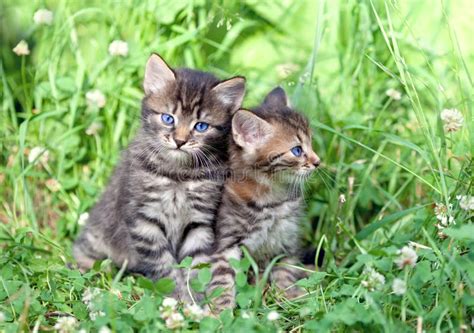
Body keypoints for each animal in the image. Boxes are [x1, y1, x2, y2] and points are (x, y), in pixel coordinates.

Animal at [73, 53, 248, 300]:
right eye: (168, 119)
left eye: (201, 126)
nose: (180, 141)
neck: (178, 174)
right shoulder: (144, 219)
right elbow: (163, 265)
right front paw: (177, 296)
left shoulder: (199, 221)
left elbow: (197, 263)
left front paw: (195, 298)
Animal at [206, 87, 318, 310]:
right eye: (297, 150)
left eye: (311, 144)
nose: (318, 162)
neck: (273, 199)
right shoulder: (227, 241)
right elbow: (222, 278)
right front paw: (219, 310)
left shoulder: (287, 240)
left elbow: (286, 271)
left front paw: (289, 297)